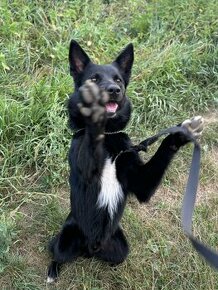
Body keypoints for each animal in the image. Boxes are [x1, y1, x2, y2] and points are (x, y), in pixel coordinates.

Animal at [46, 39, 204, 282]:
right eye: (94, 79)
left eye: (118, 79)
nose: (114, 90)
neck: (109, 138)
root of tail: (90, 248)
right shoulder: (87, 170)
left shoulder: (141, 184)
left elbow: (162, 151)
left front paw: (181, 133)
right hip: (65, 240)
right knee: (55, 252)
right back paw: (52, 271)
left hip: (121, 248)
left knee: (114, 258)